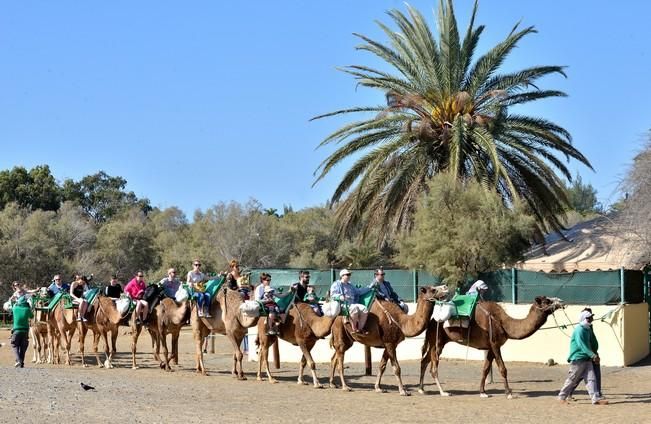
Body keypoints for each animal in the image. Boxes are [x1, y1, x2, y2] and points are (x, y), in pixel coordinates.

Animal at [418, 294, 564, 398]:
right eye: (547, 301)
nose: (561, 302)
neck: (504, 324)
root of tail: (431, 320)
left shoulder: (490, 347)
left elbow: (485, 368)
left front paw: (482, 392)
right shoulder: (495, 344)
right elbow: (503, 368)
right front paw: (509, 393)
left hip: (436, 341)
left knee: (424, 360)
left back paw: (421, 389)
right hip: (438, 341)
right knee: (433, 367)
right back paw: (443, 392)